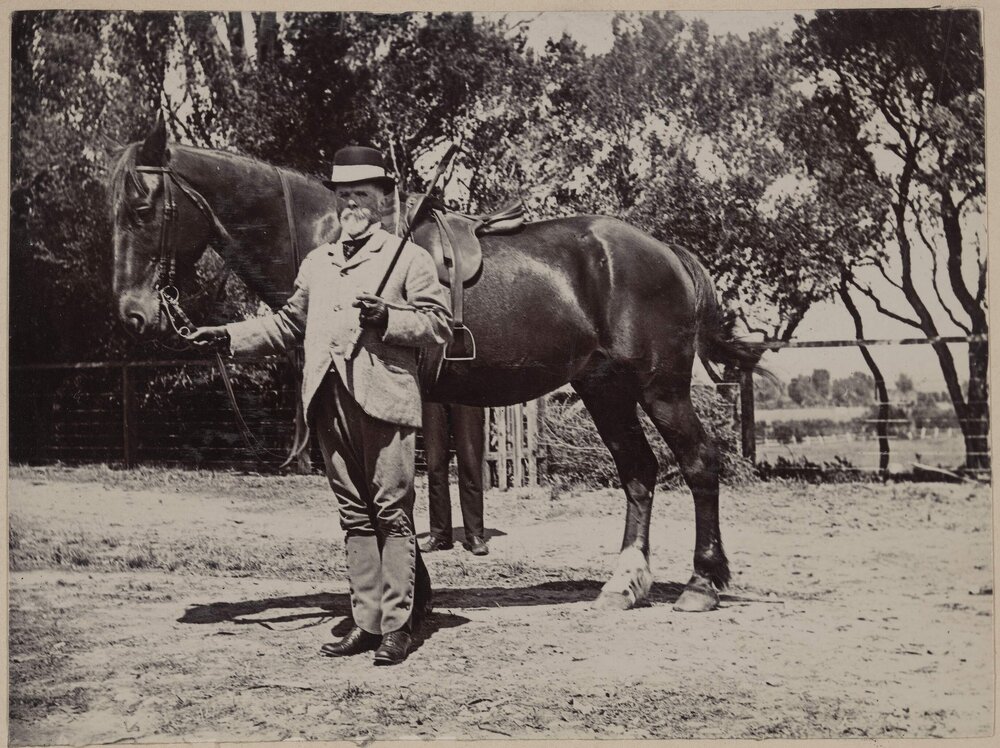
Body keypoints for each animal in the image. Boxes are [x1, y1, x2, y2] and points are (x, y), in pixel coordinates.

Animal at [110, 116, 761, 613]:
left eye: (142, 208)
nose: (133, 315)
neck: (334, 239)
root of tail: (663, 250)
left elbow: (395, 498)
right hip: (604, 389)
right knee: (639, 473)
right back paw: (624, 585)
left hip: (661, 388)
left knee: (699, 464)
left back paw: (702, 584)